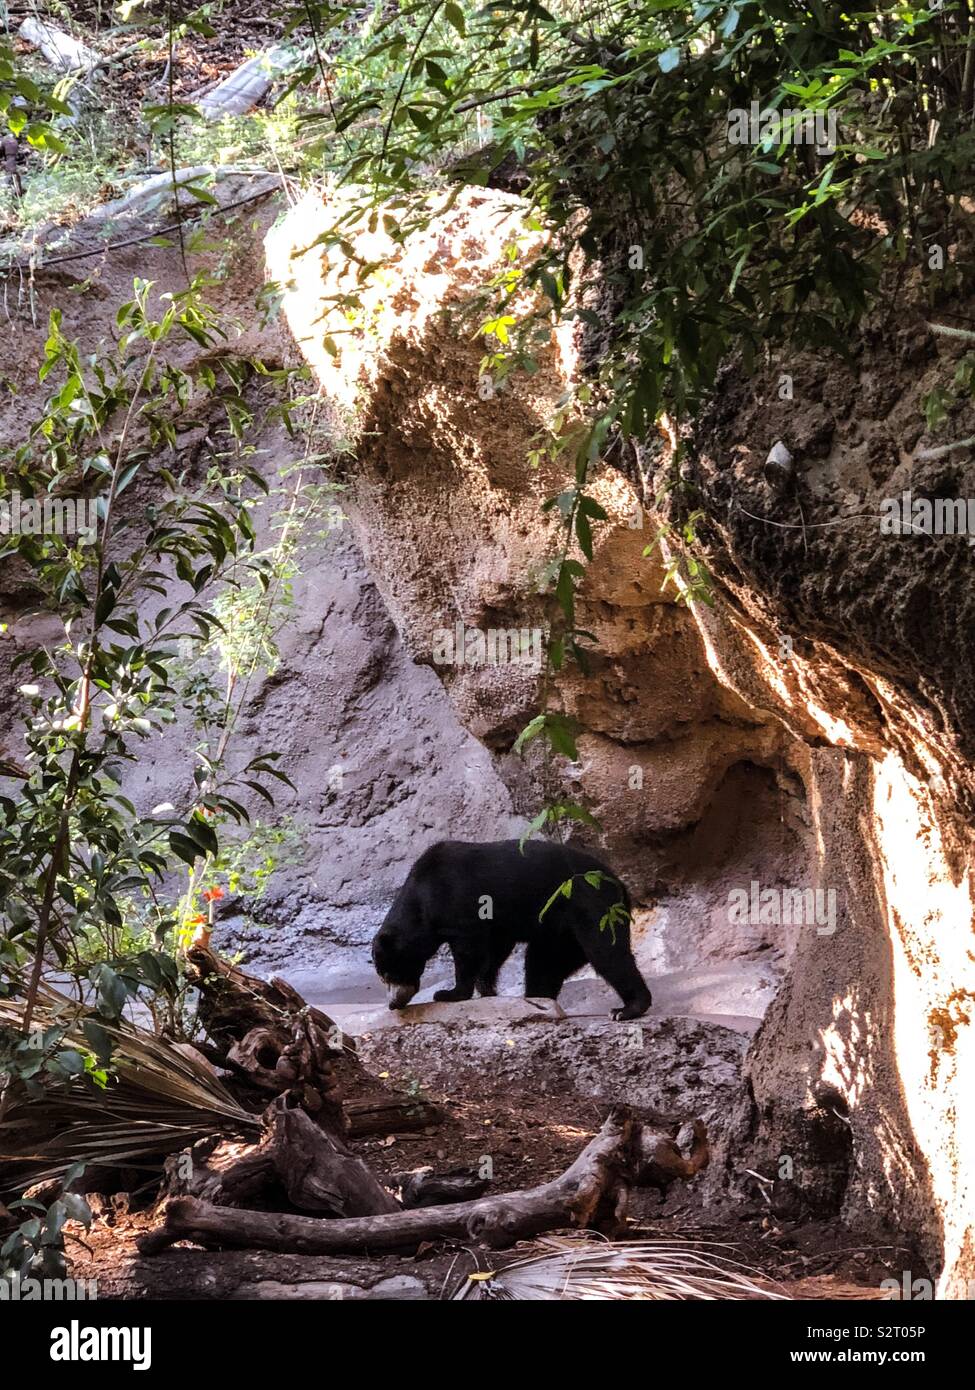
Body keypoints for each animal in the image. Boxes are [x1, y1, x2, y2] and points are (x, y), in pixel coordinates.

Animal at [369, 834, 650, 1023]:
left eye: (387, 974)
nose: (393, 1004)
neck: (421, 896)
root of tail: (620, 884)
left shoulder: (457, 901)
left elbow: (469, 950)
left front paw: (449, 993)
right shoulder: (499, 923)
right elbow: (495, 949)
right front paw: (487, 990)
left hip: (592, 905)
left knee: (606, 952)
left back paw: (626, 1009)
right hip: (559, 930)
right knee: (544, 962)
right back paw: (539, 999)